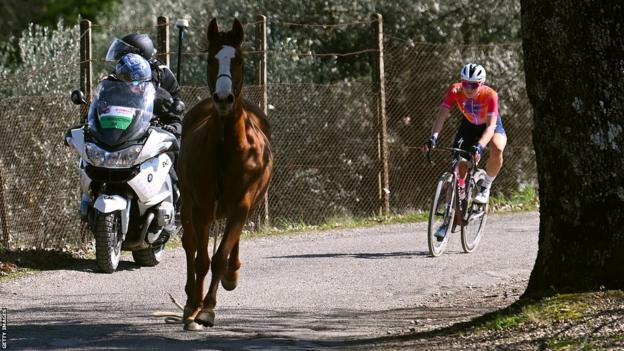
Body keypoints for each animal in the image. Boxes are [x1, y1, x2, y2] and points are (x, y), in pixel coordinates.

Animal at [177, 18, 272, 332]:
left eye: (239, 59)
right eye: (210, 59)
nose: (223, 98)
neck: (225, 148)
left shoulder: (242, 204)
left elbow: (219, 257)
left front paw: (208, 309)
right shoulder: (203, 207)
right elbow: (201, 259)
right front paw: (195, 306)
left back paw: (231, 275)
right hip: (189, 202)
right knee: (191, 246)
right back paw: (190, 299)